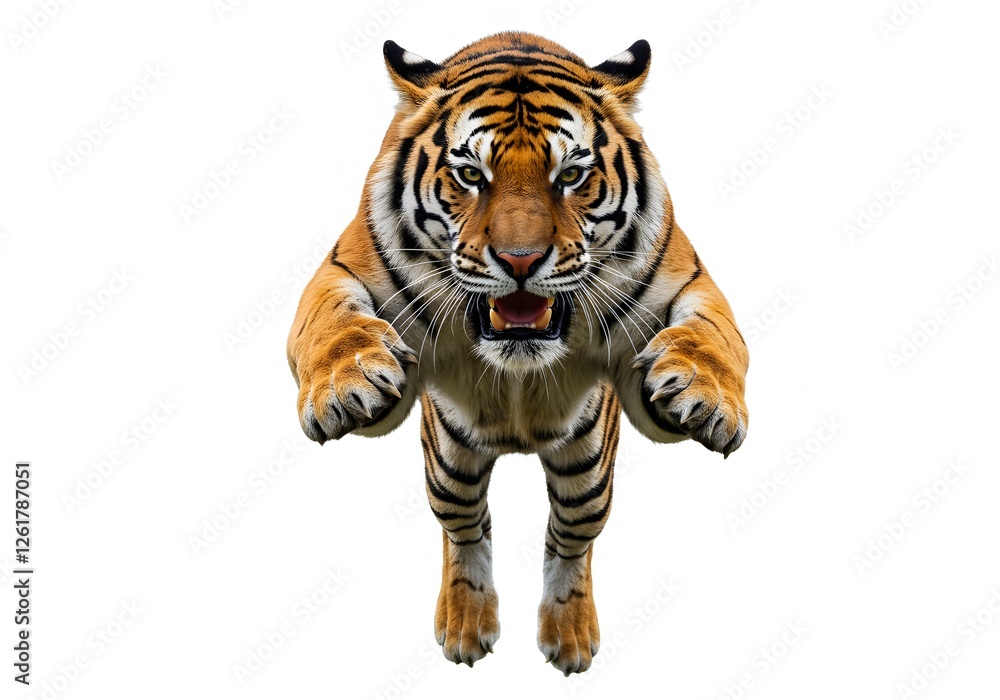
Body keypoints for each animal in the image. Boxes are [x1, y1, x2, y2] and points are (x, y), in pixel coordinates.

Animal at [286, 32, 749, 675]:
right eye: (469, 174)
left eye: (571, 174)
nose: (521, 260)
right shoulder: (343, 268)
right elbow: (330, 324)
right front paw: (346, 386)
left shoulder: (687, 280)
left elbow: (716, 335)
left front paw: (705, 399)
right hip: (449, 458)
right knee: (464, 525)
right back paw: (466, 625)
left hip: (588, 466)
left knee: (572, 534)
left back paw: (570, 635)